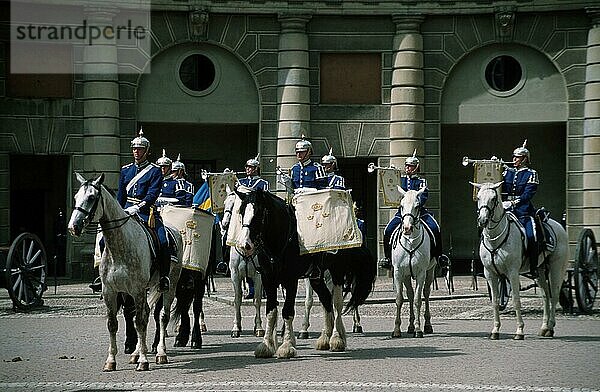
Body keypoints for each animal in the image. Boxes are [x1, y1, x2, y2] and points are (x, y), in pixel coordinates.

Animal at [67, 174, 180, 370]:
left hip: (169, 285)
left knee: (162, 316)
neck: (119, 245)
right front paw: (111, 360)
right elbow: (113, 324)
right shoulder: (111, 291)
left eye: (91, 197)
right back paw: (135, 353)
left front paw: (143, 360)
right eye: (75, 197)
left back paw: (160, 353)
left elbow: (140, 323)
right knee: (146, 313)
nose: (73, 227)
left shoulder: (137, 290)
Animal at [220, 190, 262, 336]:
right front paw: (236, 327)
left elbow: (257, 300)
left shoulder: (258, 275)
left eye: (235, 206)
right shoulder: (235, 275)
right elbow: (237, 300)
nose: (224, 223)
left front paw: (259, 327)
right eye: (225, 203)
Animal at [234, 187, 376, 358]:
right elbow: (271, 311)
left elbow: (287, 311)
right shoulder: (269, 279)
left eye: (259, 213)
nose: (244, 245)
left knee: (336, 303)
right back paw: (325, 338)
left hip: (336, 272)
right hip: (316, 278)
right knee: (326, 301)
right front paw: (267, 345)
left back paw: (336, 338)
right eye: (241, 212)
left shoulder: (290, 280)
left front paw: (287, 346)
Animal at [390, 186, 436, 336]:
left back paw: (427, 325)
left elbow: (417, 300)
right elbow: (400, 299)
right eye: (401, 205)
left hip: (430, 271)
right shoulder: (398, 272)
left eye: (417, 206)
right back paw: (409, 326)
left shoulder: (421, 273)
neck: (410, 242)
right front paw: (396, 329)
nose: (407, 228)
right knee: (409, 294)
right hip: (406, 275)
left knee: (426, 293)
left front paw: (418, 328)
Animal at [474, 182, 568, 338]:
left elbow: (516, 300)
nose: (482, 220)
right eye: (478, 197)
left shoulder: (512, 272)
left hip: (556, 268)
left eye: (493, 198)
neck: (496, 239)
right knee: (545, 296)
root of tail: (559, 226)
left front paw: (520, 330)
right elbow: (495, 302)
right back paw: (544, 327)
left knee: (554, 295)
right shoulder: (490, 273)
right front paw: (495, 330)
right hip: (540, 270)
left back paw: (550, 328)